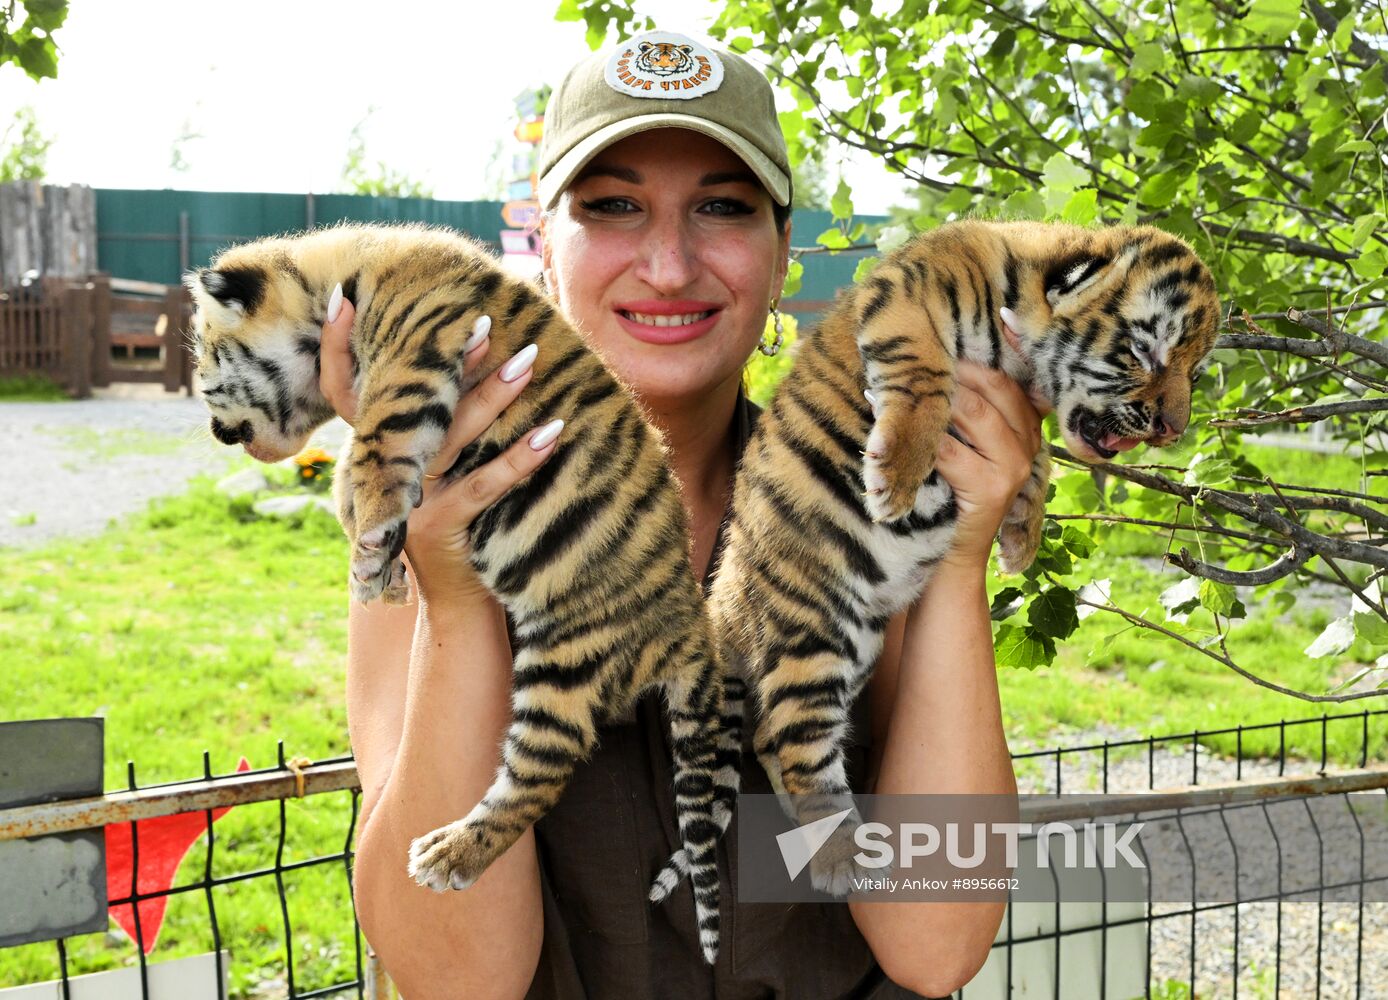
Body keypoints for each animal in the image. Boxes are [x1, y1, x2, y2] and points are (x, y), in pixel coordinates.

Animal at [185, 222, 729, 963]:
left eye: (207, 357)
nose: (216, 432)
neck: (328, 282)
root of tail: (690, 626)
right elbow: (347, 476)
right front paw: (378, 572)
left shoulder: (410, 361)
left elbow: (371, 447)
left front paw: (370, 541)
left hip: (567, 662)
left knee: (538, 777)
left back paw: (449, 855)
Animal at [649, 220, 1220, 898]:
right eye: (1142, 352)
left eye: (1194, 371)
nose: (1172, 429)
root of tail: (723, 608)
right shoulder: (907, 296)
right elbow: (925, 376)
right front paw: (895, 478)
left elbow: (1038, 456)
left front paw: (1023, 536)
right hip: (811, 631)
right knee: (800, 747)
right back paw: (842, 856)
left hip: (856, 644)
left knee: (771, 737)